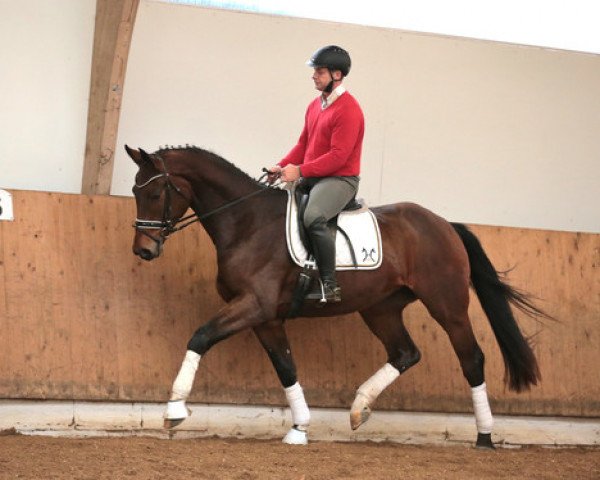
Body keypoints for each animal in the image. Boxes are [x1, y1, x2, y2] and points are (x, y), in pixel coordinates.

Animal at [125, 144, 548, 448]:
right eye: (134, 190)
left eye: (157, 191)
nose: (143, 250)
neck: (248, 223)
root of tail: (444, 224)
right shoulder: (266, 317)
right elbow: (286, 367)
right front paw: (299, 428)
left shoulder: (253, 306)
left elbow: (200, 336)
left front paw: (174, 409)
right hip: (380, 309)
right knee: (405, 353)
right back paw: (360, 408)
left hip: (448, 305)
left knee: (471, 359)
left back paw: (484, 436)